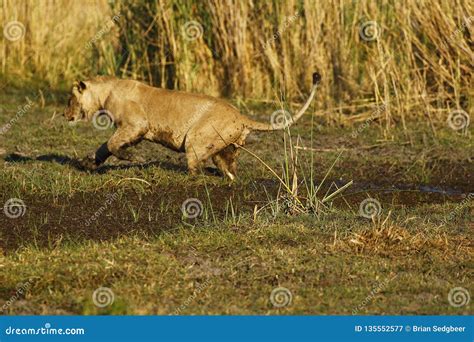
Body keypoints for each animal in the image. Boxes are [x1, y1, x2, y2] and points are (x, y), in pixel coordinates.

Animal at [63, 72, 320, 179]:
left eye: (70, 99)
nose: (65, 114)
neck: (106, 91)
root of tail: (241, 116)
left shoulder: (137, 125)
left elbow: (111, 144)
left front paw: (133, 158)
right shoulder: (131, 130)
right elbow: (103, 148)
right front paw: (87, 164)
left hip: (197, 139)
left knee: (195, 168)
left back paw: (196, 178)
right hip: (224, 149)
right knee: (229, 170)